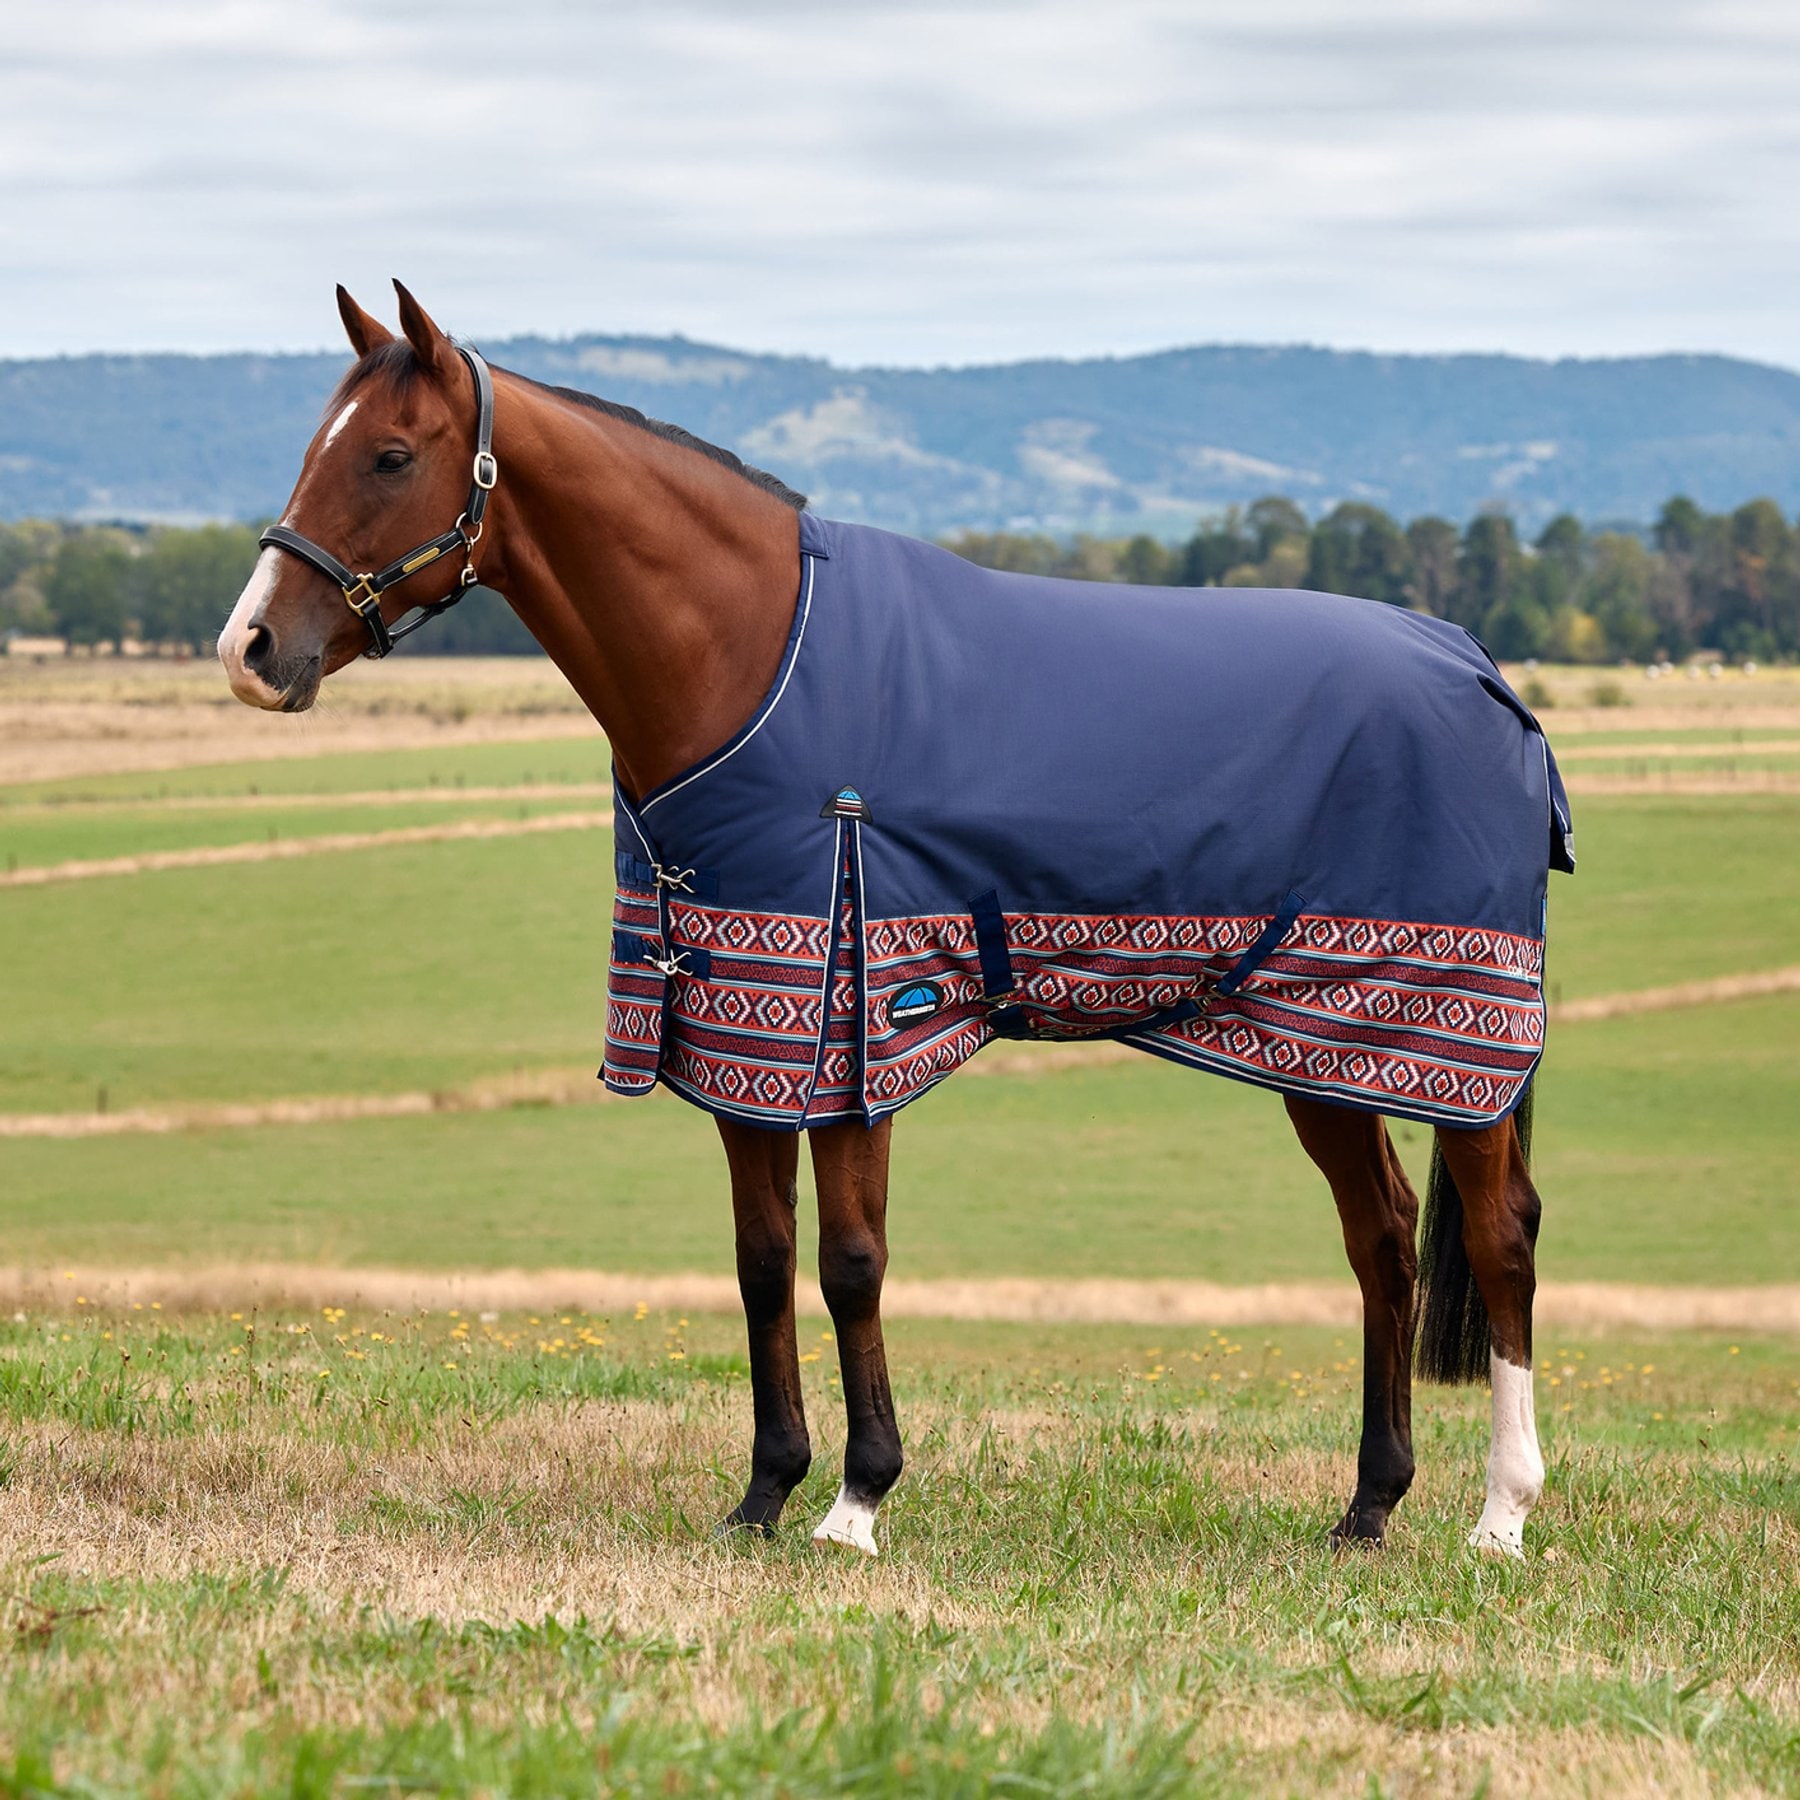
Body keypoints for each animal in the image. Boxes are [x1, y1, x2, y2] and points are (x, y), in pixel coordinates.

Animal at [219, 282, 1567, 1560]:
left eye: (391, 455)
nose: (252, 648)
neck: (751, 656)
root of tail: (1482, 670)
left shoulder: (852, 1025)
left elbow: (851, 1261)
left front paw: (858, 1500)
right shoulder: (739, 1029)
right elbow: (764, 1260)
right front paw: (764, 1492)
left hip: (1451, 1041)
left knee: (1501, 1237)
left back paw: (1500, 1516)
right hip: (1324, 1042)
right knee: (1384, 1240)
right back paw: (1368, 1508)